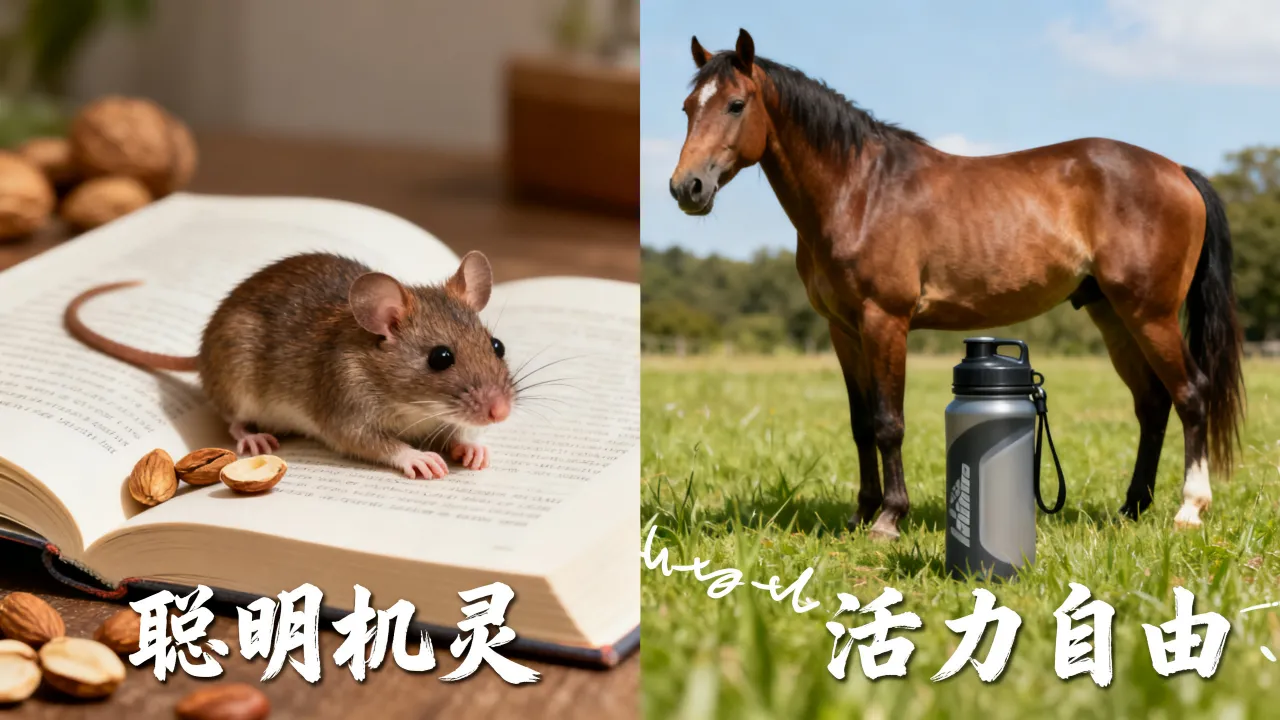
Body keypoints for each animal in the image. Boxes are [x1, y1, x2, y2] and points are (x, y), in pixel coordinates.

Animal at [668, 29, 1244, 541]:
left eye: (736, 105)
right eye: (688, 107)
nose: (686, 188)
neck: (860, 190)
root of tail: (1178, 171)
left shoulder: (885, 322)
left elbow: (889, 421)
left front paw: (888, 519)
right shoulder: (843, 331)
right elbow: (860, 423)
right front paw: (860, 514)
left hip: (1150, 314)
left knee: (1191, 394)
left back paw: (1189, 509)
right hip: (1114, 316)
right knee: (1152, 403)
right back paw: (1131, 508)